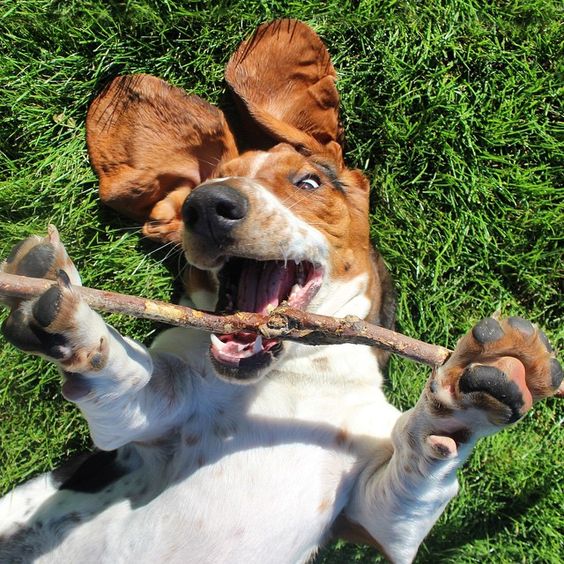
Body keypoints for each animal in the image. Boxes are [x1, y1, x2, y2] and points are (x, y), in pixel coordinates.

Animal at [0, 18, 560, 564]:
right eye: (201, 191)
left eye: (309, 182)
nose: (207, 205)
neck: (295, 372)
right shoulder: (142, 423)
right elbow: (133, 374)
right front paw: (68, 315)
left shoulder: (376, 527)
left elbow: (421, 467)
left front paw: (465, 402)